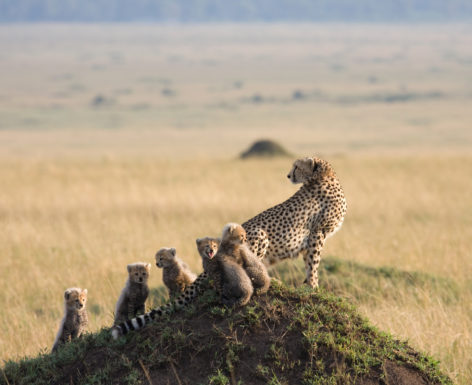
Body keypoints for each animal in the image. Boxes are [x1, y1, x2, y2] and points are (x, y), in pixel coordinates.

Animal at [243, 154, 346, 286]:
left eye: (297, 166)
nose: (288, 175)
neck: (323, 176)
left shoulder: (311, 237)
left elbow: (309, 261)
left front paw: (309, 284)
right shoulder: (317, 232)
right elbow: (314, 261)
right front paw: (314, 285)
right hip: (259, 233)